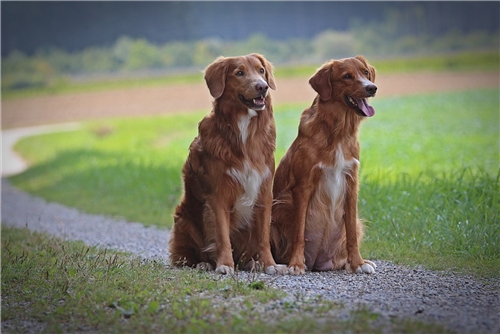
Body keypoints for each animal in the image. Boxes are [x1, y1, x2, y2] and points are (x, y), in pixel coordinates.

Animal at [167, 53, 286, 276]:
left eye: (261, 71)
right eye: (239, 73)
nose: (262, 86)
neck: (244, 130)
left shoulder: (264, 192)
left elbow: (264, 237)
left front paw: (270, 264)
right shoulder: (218, 196)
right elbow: (222, 235)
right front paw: (224, 264)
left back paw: (251, 263)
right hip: (184, 221)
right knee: (189, 256)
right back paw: (205, 263)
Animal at [272, 55, 376, 274]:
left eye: (365, 73)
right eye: (347, 76)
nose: (372, 88)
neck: (338, 131)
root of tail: (317, 263)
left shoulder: (351, 183)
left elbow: (351, 233)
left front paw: (358, 263)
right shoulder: (303, 186)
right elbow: (299, 232)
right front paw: (295, 264)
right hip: (279, 209)